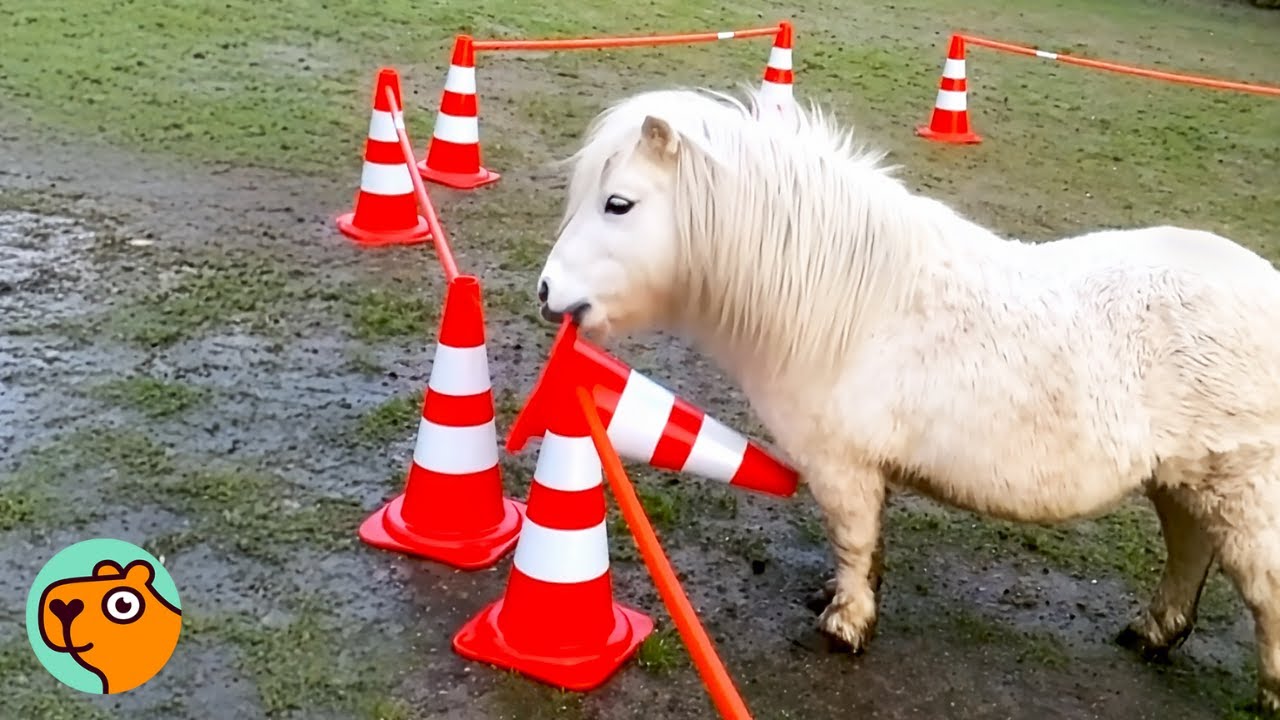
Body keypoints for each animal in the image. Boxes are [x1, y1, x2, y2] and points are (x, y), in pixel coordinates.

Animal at [532, 83, 1280, 713]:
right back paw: (1153, 632)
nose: (547, 292)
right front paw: (845, 598)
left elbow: (853, 538)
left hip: (1238, 488)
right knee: (1190, 552)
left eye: (618, 204)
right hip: (1184, 481)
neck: (849, 306)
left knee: (1263, 588)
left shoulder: (842, 467)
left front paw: (845, 623)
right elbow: (868, 544)